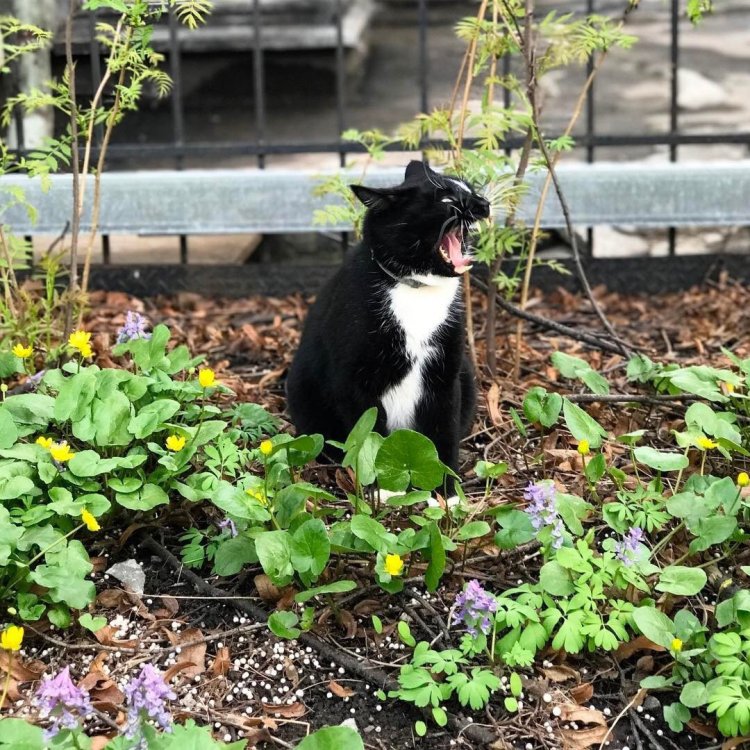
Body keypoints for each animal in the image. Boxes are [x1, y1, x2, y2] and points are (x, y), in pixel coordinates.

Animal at [288, 162, 494, 482]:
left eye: (470, 189)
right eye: (447, 200)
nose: (484, 204)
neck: (415, 289)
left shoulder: (445, 376)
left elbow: (443, 433)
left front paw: (446, 490)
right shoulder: (354, 383)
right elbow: (370, 438)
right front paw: (382, 487)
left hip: (466, 376)